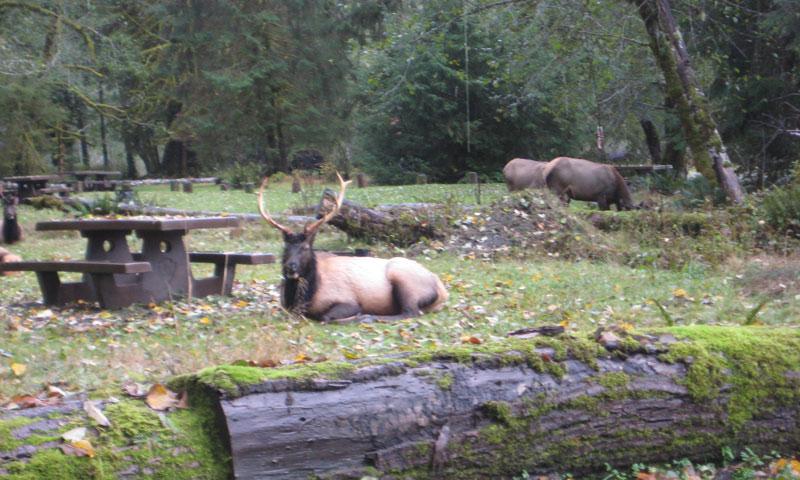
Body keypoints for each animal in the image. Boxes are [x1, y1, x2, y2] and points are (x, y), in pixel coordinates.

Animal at [258, 173, 448, 323]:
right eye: (285, 247)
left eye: (305, 247)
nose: (291, 267)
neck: (307, 295)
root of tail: (443, 291)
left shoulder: (349, 301)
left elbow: (326, 317)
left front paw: (357, 316)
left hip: (404, 279)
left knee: (410, 312)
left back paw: (370, 317)